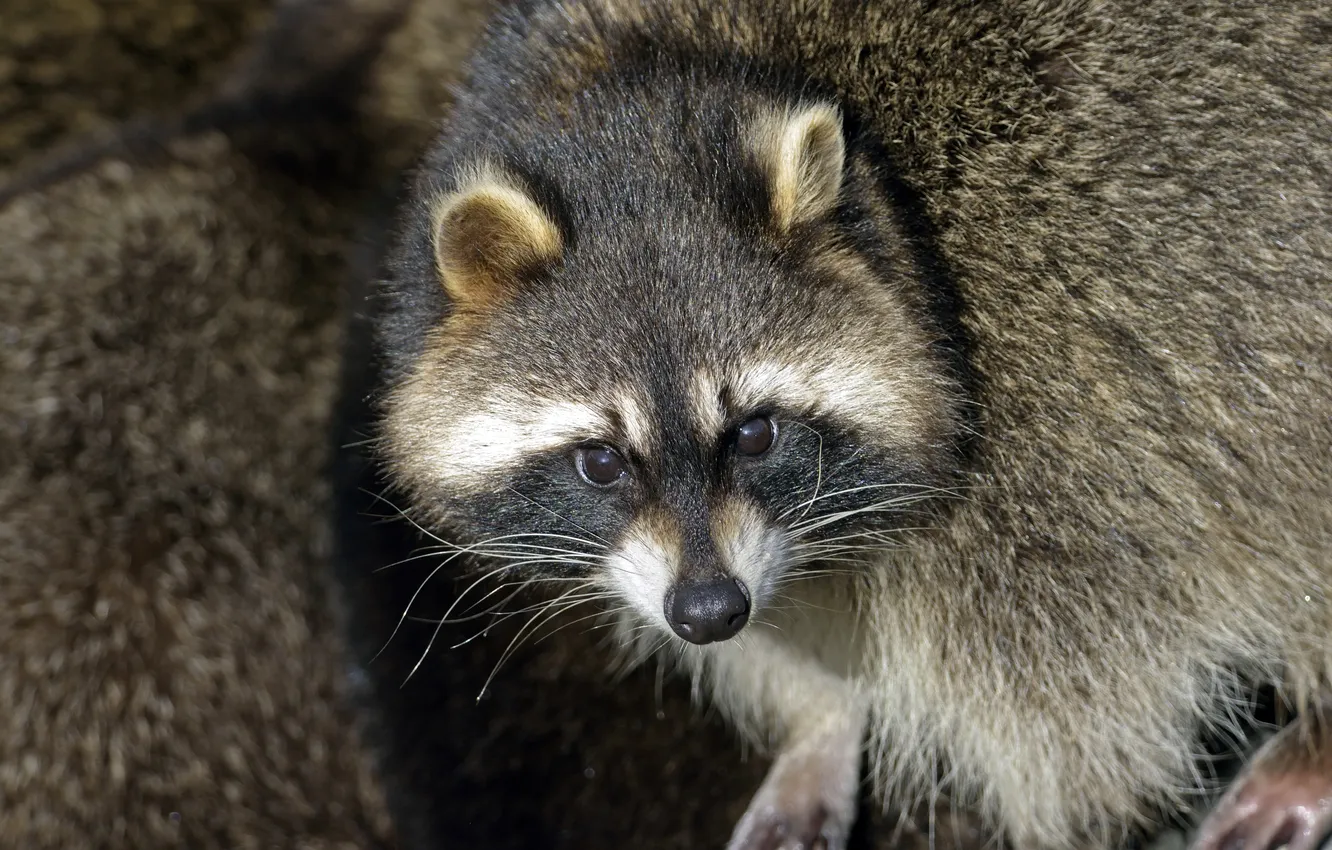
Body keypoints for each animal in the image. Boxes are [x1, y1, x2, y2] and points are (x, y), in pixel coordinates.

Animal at [350, 0, 1332, 848]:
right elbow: (786, 625)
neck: (649, 85)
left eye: (754, 432)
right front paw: (823, 717)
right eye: (600, 462)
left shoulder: (1054, 420)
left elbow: (1085, 707)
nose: (708, 612)